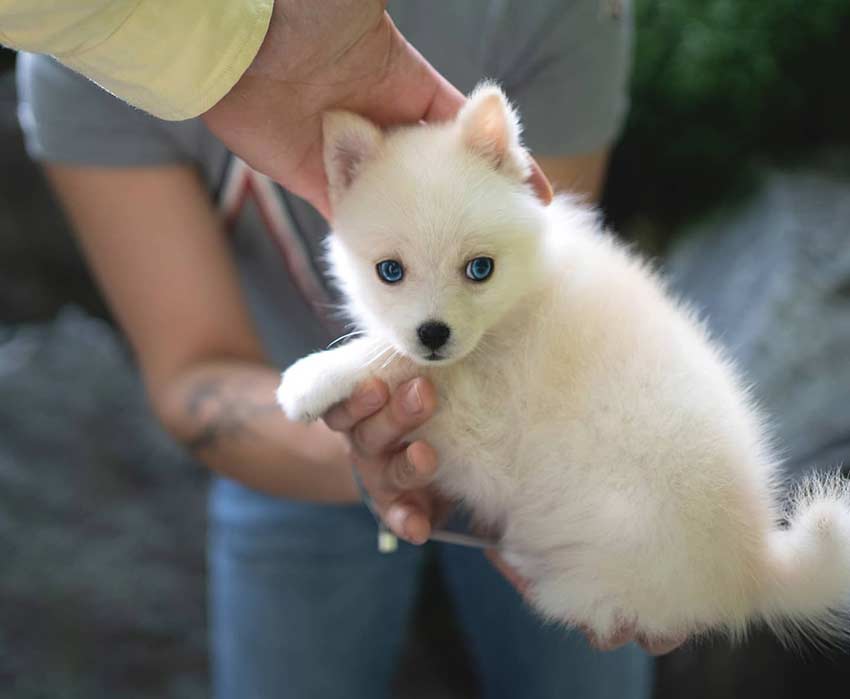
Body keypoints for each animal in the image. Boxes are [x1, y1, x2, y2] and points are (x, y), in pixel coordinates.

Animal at [276, 85, 848, 648]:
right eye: (389, 271)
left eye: (479, 269)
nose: (434, 333)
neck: (515, 309)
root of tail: (756, 568)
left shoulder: (480, 423)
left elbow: (392, 356)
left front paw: (313, 377)